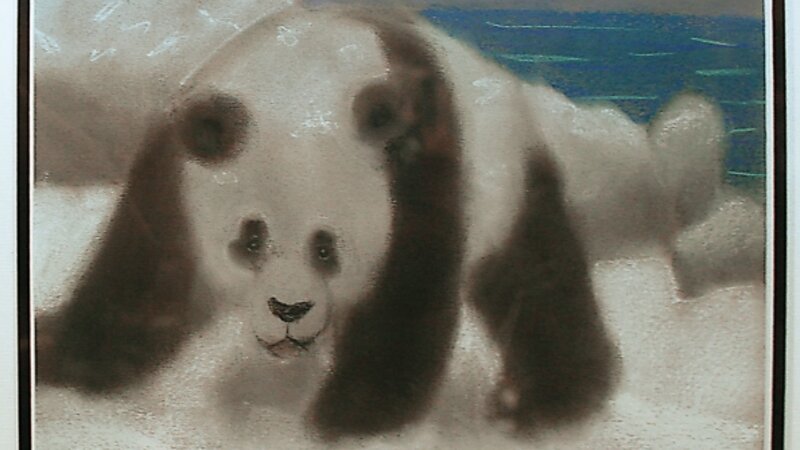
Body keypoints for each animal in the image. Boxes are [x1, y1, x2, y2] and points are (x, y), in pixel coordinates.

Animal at [34, 3, 732, 441]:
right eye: (249, 238)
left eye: (327, 248)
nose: (289, 312)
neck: (303, 80)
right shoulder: (174, 168)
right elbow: (137, 285)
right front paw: (52, 356)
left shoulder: (418, 170)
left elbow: (408, 296)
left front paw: (349, 416)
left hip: (506, 173)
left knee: (536, 277)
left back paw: (540, 401)